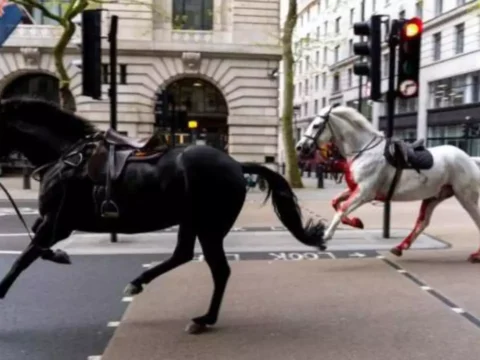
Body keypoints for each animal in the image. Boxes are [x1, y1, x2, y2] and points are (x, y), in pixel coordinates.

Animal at [0, 97, 326, 334]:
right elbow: (33, 248)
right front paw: (59, 255)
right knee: (184, 255)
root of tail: (236, 164)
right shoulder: (50, 224)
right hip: (192, 222)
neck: (66, 156)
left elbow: (23, 259)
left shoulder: (58, 224)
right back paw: (144, 284)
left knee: (219, 269)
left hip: (209, 226)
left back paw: (203, 319)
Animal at [298, 104, 480, 262]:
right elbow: (336, 203)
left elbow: (342, 209)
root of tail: (470, 159)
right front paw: (356, 222)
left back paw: (476, 255)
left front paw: (325, 236)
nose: (300, 147)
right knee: (422, 222)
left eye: (316, 125)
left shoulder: (365, 192)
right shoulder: (356, 189)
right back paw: (400, 247)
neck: (364, 151)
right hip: (435, 196)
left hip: (466, 197)